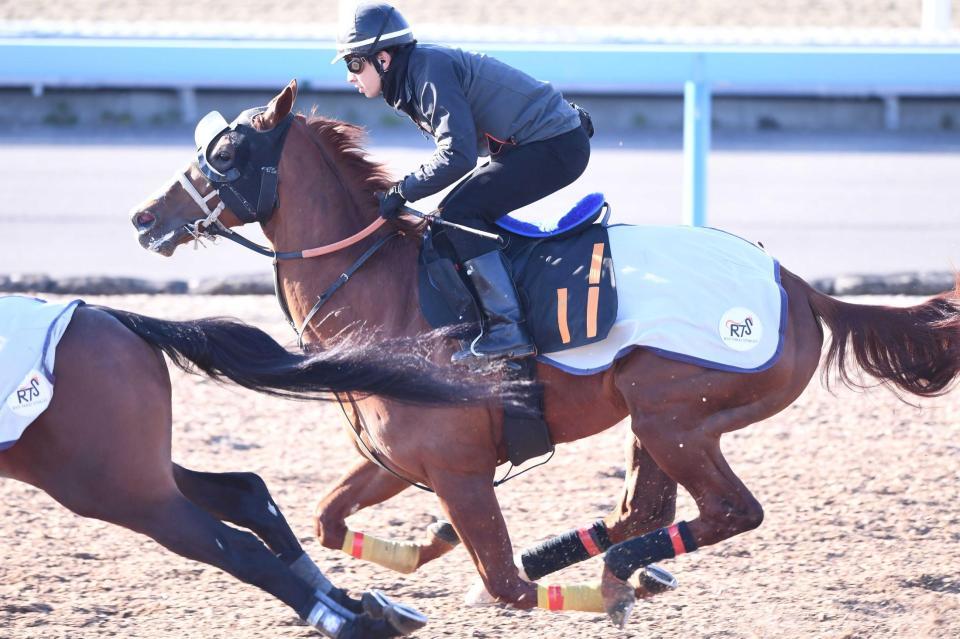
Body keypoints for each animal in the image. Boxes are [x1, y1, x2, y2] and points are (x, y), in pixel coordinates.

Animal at [0, 300, 520, 639]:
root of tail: (104, 315)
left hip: (115, 489)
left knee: (237, 546)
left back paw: (355, 624)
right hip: (135, 471)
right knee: (246, 495)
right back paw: (353, 605)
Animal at [129, 79, 960, 624]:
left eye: (226, 150)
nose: (144, 217)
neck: (378, 286)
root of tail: (796, 283)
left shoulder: (459, 471)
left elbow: (506, 586)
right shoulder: (401, 461)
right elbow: (331, 518)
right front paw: (425, 553)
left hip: (676, 418)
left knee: (730, 509)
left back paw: (619, 576)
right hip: (658, 421)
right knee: (643, 508)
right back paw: (609, 566)